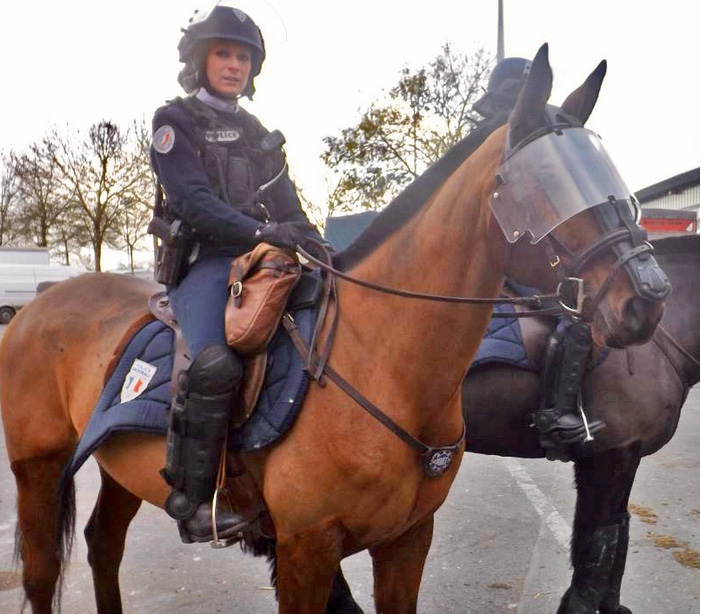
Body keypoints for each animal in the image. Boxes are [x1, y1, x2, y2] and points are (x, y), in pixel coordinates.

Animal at [0, 44, 668, 614]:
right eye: (545, 187)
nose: (648, 298)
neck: (381, 364)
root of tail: (38, 307)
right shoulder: (306, 549)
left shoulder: (407, 540)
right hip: (38, 465)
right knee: (42, 570)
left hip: (120, 465)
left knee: (103, 545)